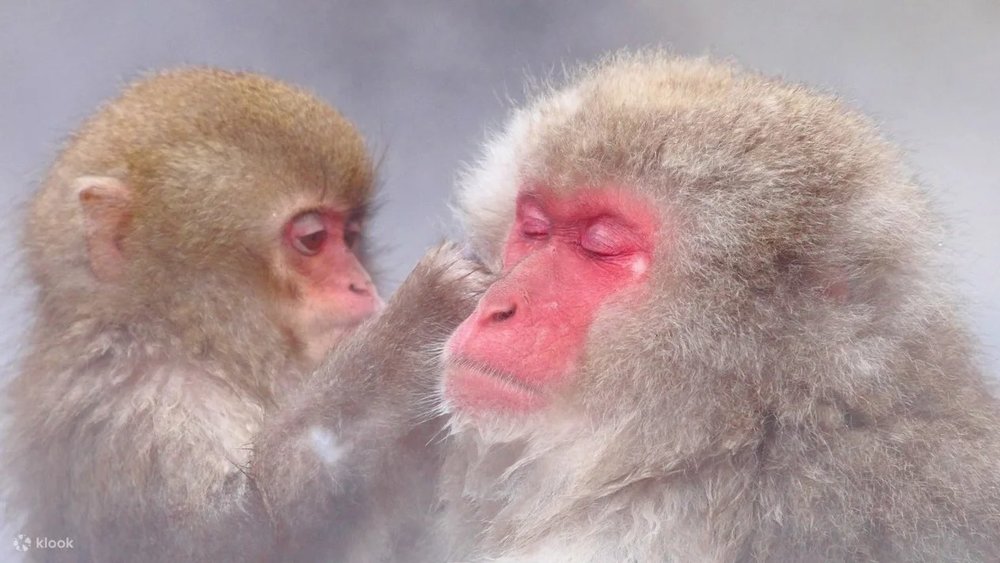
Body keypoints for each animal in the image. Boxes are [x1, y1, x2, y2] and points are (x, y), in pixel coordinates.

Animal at [0, 68, 487, 562]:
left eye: (350, 236)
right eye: (312, 238)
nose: (361, 284)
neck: (190, 343)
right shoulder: (134, 410)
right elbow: (242, 533)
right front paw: (413, 326)